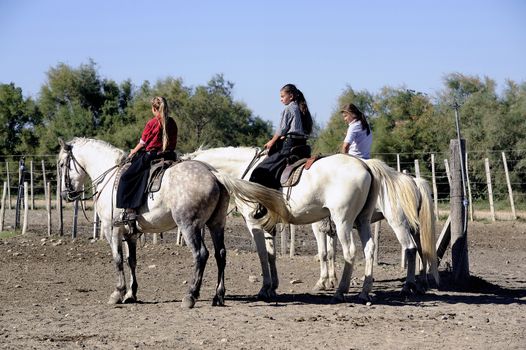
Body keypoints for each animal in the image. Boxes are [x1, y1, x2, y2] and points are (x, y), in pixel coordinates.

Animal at [58, 138, 292, 308]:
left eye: (61, 164)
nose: (65, 194)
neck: (108, 176)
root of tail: (214, 174)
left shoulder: (111, 229)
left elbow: (117, 260)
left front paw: (118, 293)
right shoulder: (131, 233)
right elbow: (131, 261)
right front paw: (131, 294)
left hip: (189, 226)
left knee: (201, 254)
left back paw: (191, 296)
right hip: (216, 224)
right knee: (221, 255)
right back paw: (218, 296)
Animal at [186, 146, 442, 300]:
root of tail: (367, 166)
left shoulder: (256, 224)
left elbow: (267, 255)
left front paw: (266, 288)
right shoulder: (272, 226)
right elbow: (272, 255)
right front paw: (273, 286)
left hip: (360, 221)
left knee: (380, 250)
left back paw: (345, 291)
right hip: (365, 221)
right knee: (380, 249)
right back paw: (369, 290)